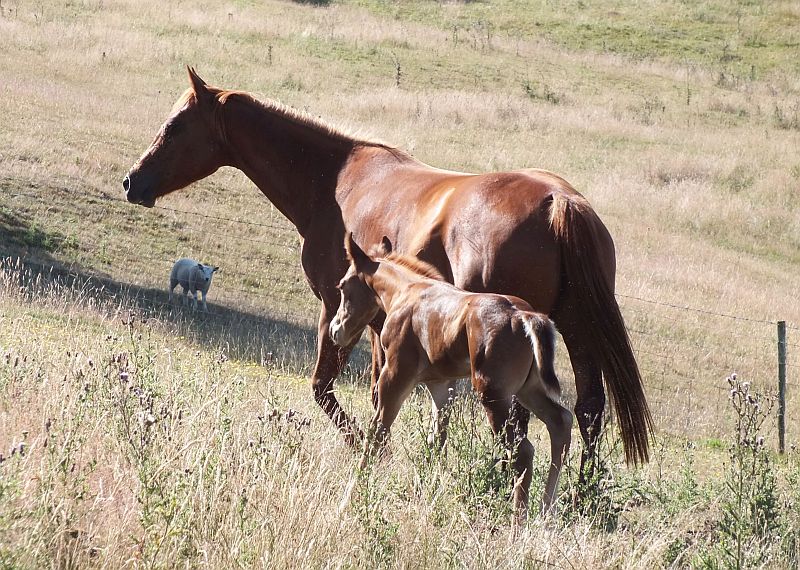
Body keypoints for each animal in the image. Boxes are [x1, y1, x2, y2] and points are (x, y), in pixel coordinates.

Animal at [123, 67, 653, 478]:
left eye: (175, 126)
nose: (132, 181)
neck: (336, 181)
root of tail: (557, 201)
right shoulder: (382, 324)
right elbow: (383, 388)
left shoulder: (337, 309)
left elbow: (326, 388)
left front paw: (372, 452)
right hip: (575, 330)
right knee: (587, 411)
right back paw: (582, 492)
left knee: (521, 422)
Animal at [330, 233, 572, 519]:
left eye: (342, 286)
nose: (335, 330)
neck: (406, 292)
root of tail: (525, 316)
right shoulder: (441, 385)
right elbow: (437, 439)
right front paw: (425, 496)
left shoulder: (395, 375)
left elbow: (376, 432)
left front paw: (347, 501)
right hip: (528, 389)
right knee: (560, 422)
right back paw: (546, 511)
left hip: (493, 394)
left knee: (522, 451)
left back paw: (519, 522)